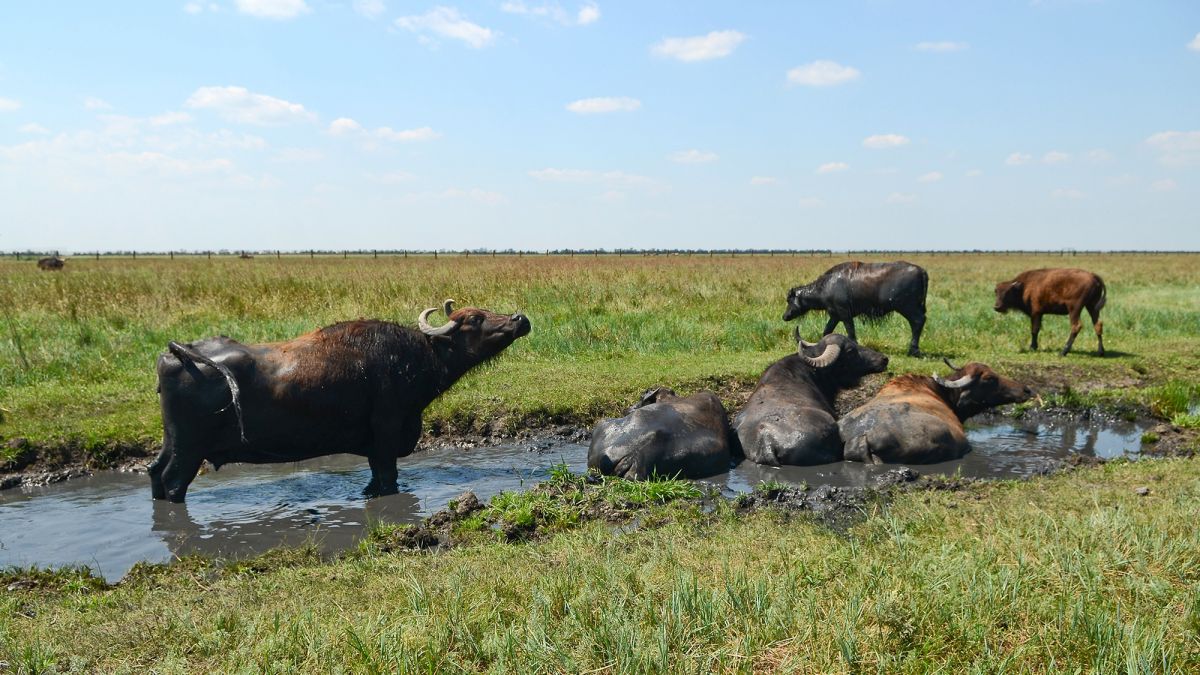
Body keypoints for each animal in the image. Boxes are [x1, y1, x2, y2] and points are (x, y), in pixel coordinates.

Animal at [150, 297, 530, 499]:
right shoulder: (387, 433)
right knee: (172, 482)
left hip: (173, 441)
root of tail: (176, 353)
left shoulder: (376, 446)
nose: (520, 318)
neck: (414, 356)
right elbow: (388, 478)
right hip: (189, 450)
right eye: (475, 319)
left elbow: (374, 479)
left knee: (155, 472)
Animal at [787, 258, 926, 357]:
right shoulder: (835, 315)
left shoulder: (844, 314)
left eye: (789, 300)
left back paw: (913, 351)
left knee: (918, 321)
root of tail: (920, 270)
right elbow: (827, 331)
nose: (785, 316)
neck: (826, 286)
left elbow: (851, 331)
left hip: (907, 307)